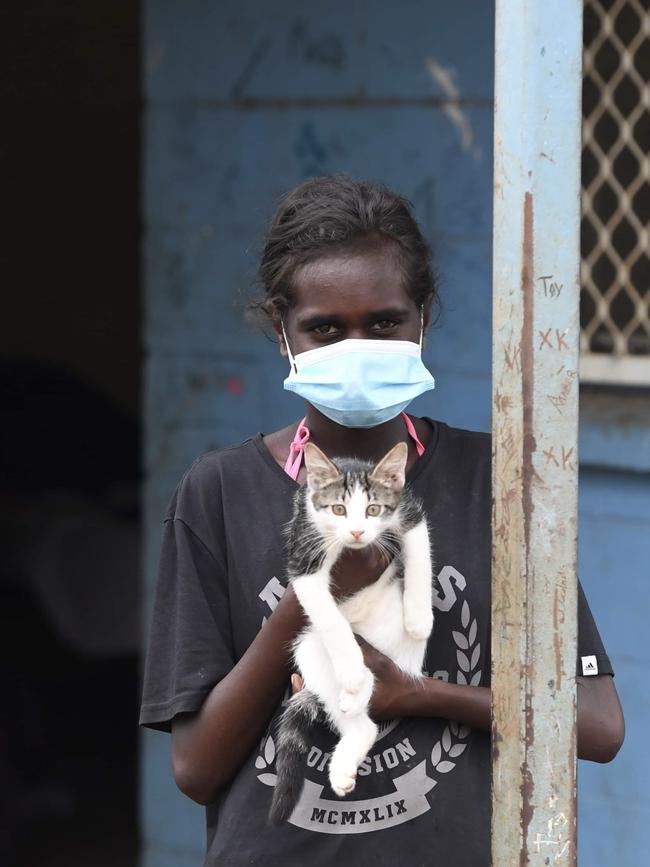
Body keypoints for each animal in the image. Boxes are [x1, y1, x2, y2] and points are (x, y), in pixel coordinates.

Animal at [266, 440, 432, 828]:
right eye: (338, 509)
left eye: (373, 509)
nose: (357, 533)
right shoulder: (305, 552)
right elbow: (328, 617)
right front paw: (352, 671)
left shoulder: (408, 509)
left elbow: (420, 548)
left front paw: (420, 617)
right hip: (309, 647)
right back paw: (355, 692)